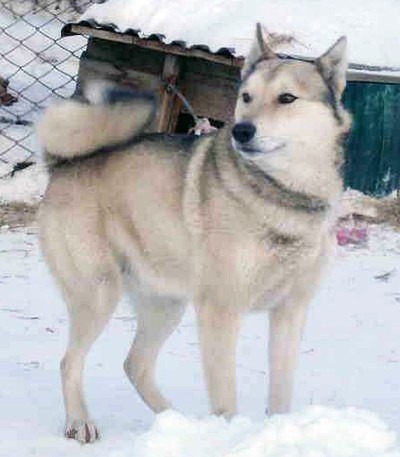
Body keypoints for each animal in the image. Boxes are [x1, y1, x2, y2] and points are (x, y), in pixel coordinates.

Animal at [37, 24, 351, 443]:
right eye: (246, 97)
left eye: (287, 98)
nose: (242, 131)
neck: (283, 194)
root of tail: (63, 163)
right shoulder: (220, 309)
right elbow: (225, 397)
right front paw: (230, 436)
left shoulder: (291, 310)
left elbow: (280, 392)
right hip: (99, 294)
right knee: (70, 361)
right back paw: (80, 422)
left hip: (166, 304)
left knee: (135, 364)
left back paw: (177, 423)